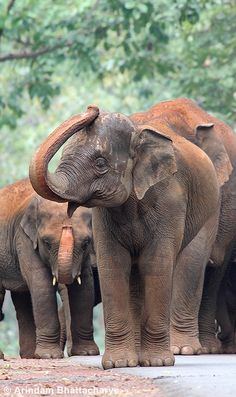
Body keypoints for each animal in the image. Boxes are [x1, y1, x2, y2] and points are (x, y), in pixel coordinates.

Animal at [0, 178, 99, 358]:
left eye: (86, 243)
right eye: (46, 243)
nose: (67, 226)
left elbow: (85, 286)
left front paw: (87, 353)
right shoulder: (24, 239)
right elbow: (41, 284)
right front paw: (49, 356)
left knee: (22, 299)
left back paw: (29, 356)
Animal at [29, 103, 219, 366]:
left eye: (100, 163)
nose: (93, 107)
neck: (137, 131)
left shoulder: (171, 201)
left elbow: (157, 263)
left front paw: (158, 363)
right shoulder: (104, 215)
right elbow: (114, 263)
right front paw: (118, 364)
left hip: (210, 212)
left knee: (191, 259)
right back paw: (137, 357)